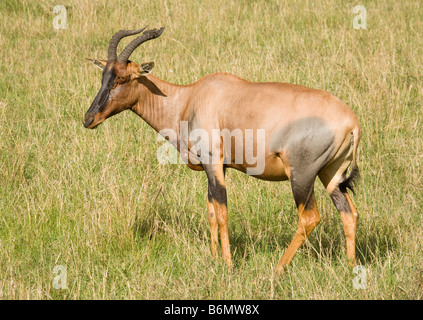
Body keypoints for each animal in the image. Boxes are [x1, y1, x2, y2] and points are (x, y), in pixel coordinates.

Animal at [84, 27, 362, 272]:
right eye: (104, 77)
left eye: (122, 78)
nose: (88, 119)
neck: (190, 99)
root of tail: (352, 122)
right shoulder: (218, 167)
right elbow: (211, 210)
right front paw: (214, 258)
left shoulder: (213, 161)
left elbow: (222, 212)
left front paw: (227, 265)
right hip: (331, 175)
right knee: (349, 213)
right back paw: (350, 266)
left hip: (301, 176)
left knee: (309, 218)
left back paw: (277, 269)